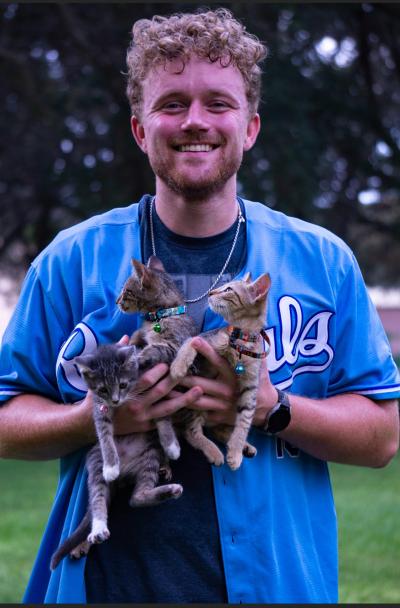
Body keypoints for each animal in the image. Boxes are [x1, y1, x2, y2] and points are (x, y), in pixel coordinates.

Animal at [50, 344, 181, 572]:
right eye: (103, 389)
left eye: (123, 384)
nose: (115, 400)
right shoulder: (98, 407)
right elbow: (104, 434)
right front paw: (111, 465)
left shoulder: (156, 392)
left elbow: (162, 416)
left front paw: (171, 445)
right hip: (95, 463)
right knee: (100, 497)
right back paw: (98, 528)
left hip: (150, 454)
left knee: (137, 497)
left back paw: (167, 485)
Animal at [117, 255, 227, 466]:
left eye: (126, 291)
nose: (117, 301)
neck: (160, 316)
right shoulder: (141, 334)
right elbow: (136, 337)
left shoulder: (174, 346)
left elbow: (154, 348)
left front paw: (138, 357)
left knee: (192, 432)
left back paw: (216, 453)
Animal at [170, 272, 270, 470]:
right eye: (224, 286)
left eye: (228, 289)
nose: (211, 293)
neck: (241, 340)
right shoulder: (202, 339)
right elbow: (189, 344)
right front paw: (178, 367)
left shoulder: (251, 385)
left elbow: (245, 420)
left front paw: (236, 451)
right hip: (194, 403)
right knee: (191, 432)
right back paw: (214, 452)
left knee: (214, 430)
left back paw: (243, 448)